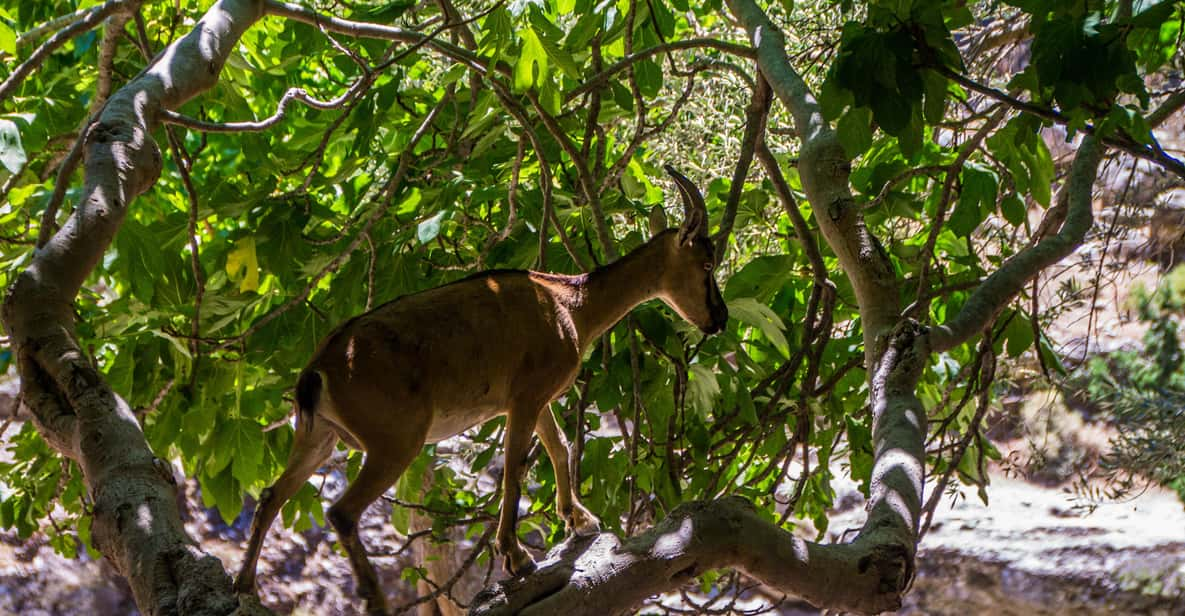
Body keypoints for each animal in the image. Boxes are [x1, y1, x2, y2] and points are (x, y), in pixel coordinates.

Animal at [234, 164, 725, 611]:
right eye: (706, 263)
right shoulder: (525, 397)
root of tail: (319, 370)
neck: (571, 306)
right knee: (341, 512)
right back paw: (374, 599)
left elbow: (559, 446)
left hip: (318, 435)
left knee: (271, 496)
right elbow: (514, 470)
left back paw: (244, 586)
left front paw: (580, 520)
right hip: (394, 440)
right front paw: (517, 557)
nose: (718, 319)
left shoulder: (535, 397)